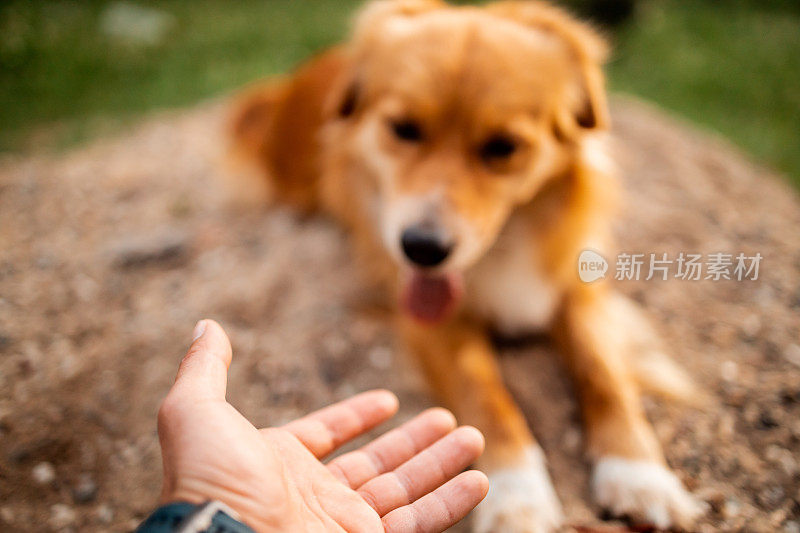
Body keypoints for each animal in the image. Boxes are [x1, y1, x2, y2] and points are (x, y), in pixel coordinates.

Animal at [227, 2, 708, 528]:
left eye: (503, 146)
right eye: (404, 129)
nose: (423, 248)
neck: (505, 244)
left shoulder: (578, 290)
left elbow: (604, 374)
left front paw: (639, 474)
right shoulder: (430, 318)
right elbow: (486, 397)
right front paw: (516, 495)